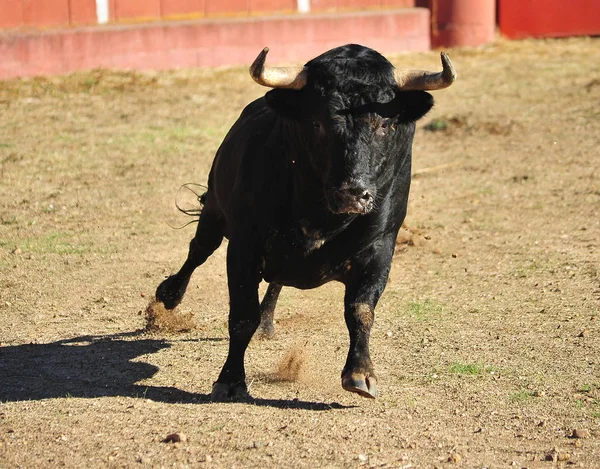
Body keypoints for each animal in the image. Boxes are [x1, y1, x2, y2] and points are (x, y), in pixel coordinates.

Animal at [155, 44, 454, 398]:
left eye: (385, 124)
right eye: (317, 123)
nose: (353, 194)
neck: (322, 217)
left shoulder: (380, 247)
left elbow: (361, 310)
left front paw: (361, 374)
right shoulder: (244, 245)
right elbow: (242, 316)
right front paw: (230, 380)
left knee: (275, 281)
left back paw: (267, 323)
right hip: (215, 212)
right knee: (198, 250)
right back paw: (169, 294)